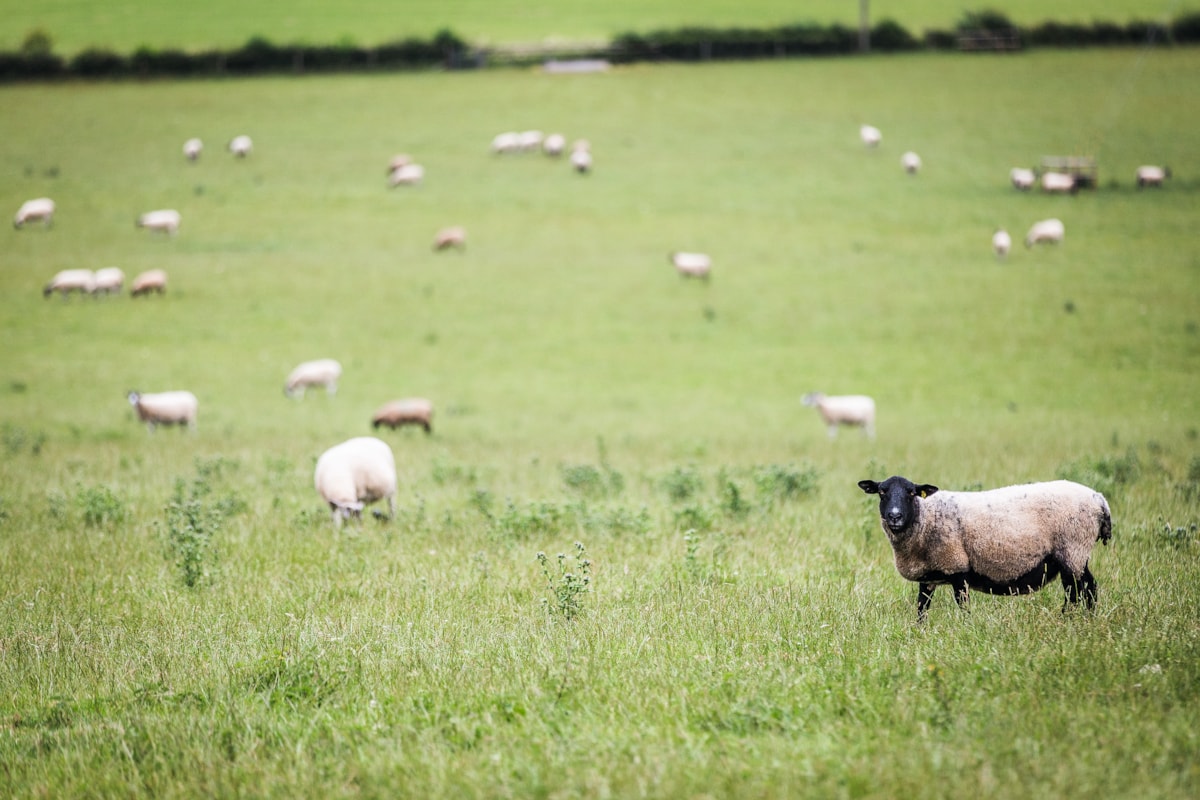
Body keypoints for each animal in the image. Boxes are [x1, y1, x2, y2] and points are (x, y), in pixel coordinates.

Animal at [859, 472, 1108, 623]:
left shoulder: (957, 567)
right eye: (882, 492)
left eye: (911, 493)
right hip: (1073, 555)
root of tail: (1099, 500)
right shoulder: (929, 576)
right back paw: (1085, 620)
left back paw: (1070, 620)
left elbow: (962, 605)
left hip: (1073, 549)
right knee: (1085, 590)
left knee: (1081, 590)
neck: (925, 517)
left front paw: (965, 628)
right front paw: (919, 631)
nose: (895, 516)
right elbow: (921, 607)